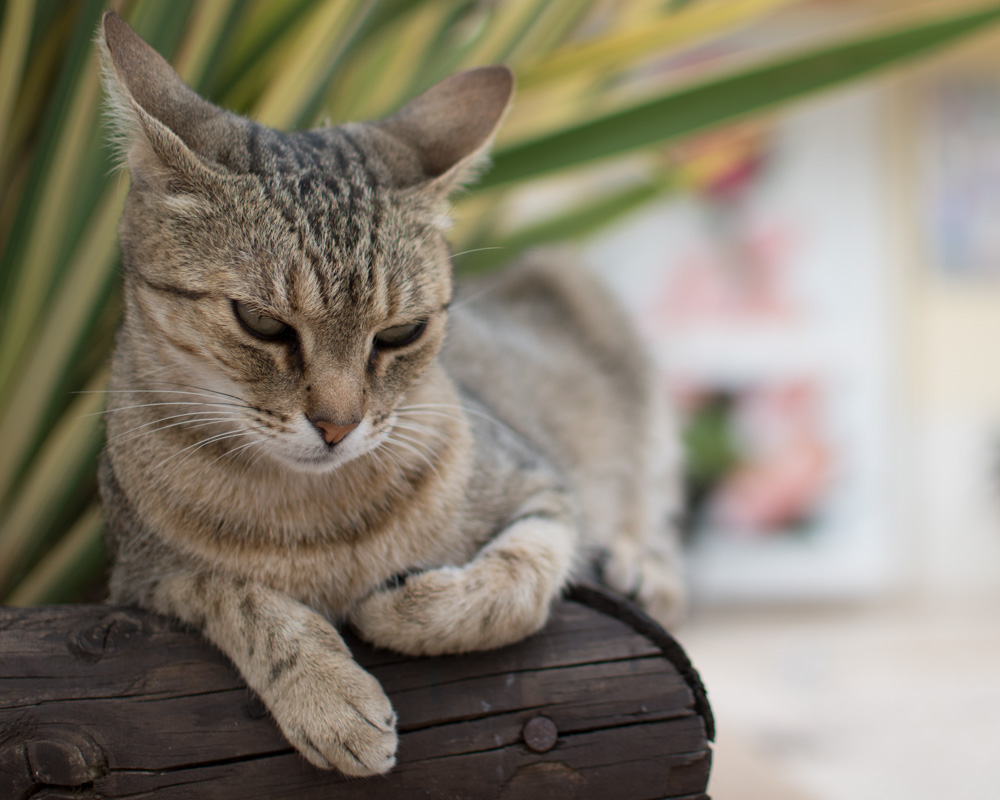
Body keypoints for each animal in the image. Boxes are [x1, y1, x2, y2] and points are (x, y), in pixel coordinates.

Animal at [97, 10, 684, 776]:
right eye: (261, 322)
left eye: (402, 333)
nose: (337, 425)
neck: (316, 518)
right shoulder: (140, 582)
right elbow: (242, 598)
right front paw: (327, 693)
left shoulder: (547, 489)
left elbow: (517, 583)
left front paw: (398, 609)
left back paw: (644, 562)